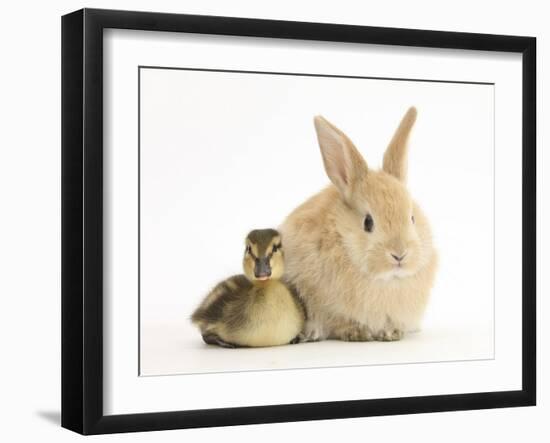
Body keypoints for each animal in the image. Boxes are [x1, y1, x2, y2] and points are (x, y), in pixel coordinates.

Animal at [280, 108, 440, 344]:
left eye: (412, 218)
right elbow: (339, 322)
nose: (399, 254)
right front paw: (357, 332)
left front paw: (391, 333)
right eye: (368, 222)